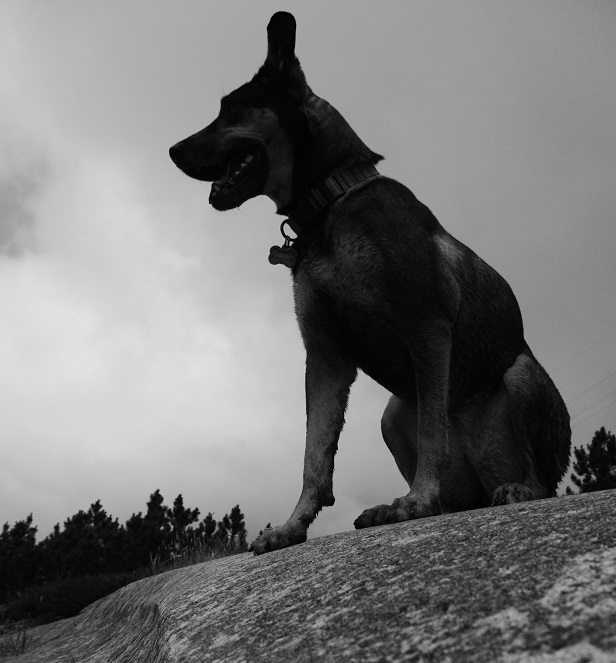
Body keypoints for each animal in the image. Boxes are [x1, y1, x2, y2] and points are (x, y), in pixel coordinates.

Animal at [170, 11, 572, 556]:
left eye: (230, 109)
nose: (172, 151)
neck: (329, 201)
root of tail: (484, 478)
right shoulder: (325, 356)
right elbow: (314, 456)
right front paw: (292, 527)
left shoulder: (426, 323)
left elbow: (432, 435)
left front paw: (415, 502)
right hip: (393, 413)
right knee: (453, 490)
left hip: (521, 374)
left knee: (538, 476)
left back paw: (510, 490)